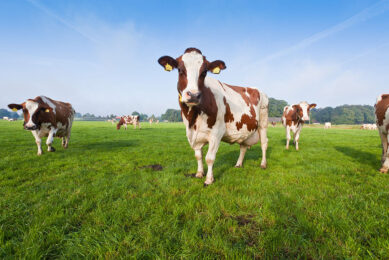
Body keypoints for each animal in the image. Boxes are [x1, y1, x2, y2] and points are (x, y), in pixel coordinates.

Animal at [157, 46, 266, 185]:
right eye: (180, 70)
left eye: (204, 72)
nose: (193, 95)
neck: (193, 117)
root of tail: (254, 88)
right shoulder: (192, 133)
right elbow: (198, 155)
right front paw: (199, 173)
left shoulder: (216, 133)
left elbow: (209, 158)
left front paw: (209, 179)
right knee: (243, 146)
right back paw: (238, 164)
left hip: (263, 122)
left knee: (264, 143)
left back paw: (263, 164)